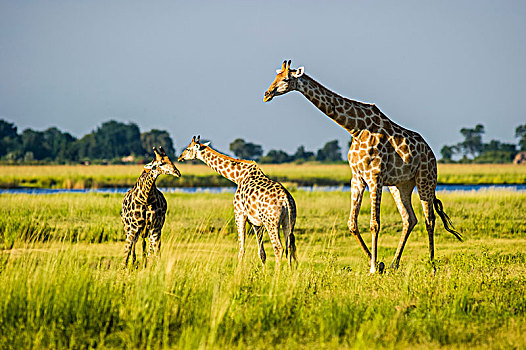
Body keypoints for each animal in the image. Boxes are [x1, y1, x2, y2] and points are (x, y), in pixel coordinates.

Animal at [264, 60, 462, 274]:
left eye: (286, 79)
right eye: (275, 76)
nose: (267, 94)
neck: (356, 128)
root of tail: (431, 152)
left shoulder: (375, 177)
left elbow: (374, 223)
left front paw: (373, 268)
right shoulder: (357, 178)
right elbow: (352, 223)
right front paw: (378, 263)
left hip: (426, 178)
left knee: (429, 219)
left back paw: (432, 265)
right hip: (401, 185)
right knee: (410, 218)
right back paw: (394, 264)